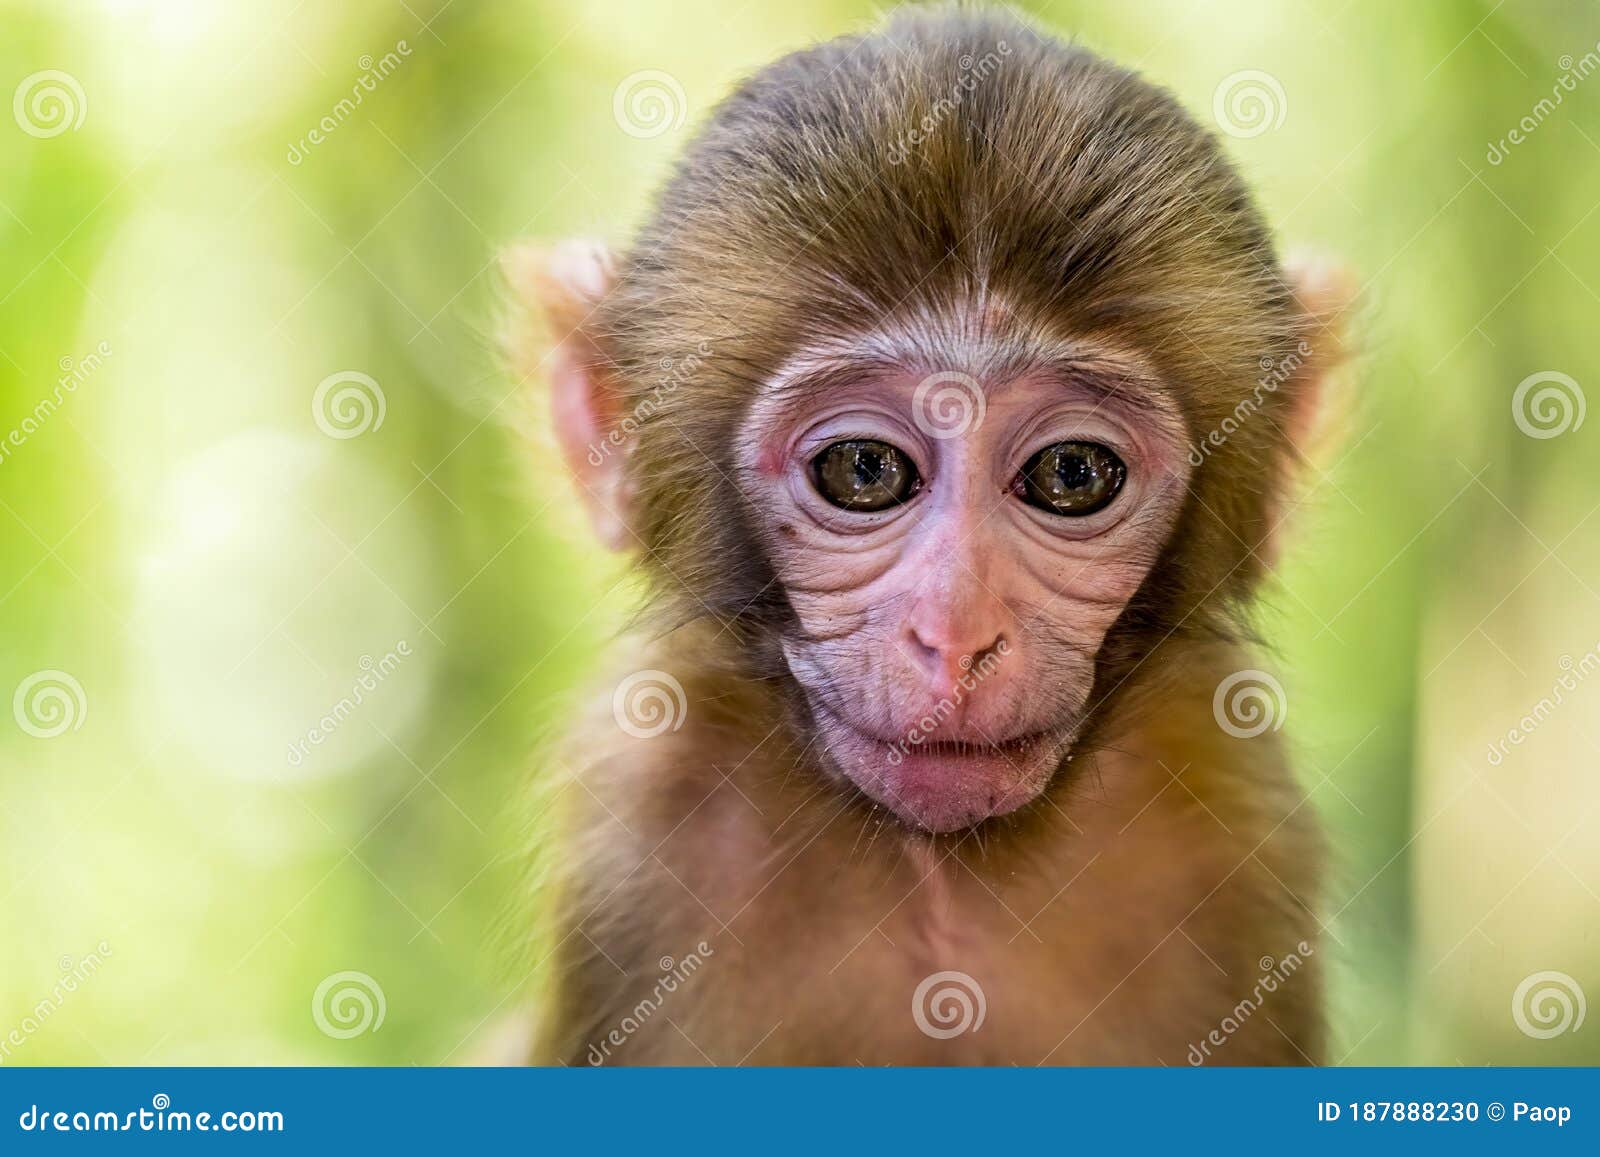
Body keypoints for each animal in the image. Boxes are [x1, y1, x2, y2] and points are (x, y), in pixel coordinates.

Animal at [502, 4, 1350, 1068]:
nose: (956, 636)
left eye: (1072, 475)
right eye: (865, 470)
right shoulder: (644, 827)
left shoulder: (1231, 828)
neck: (937, 867)